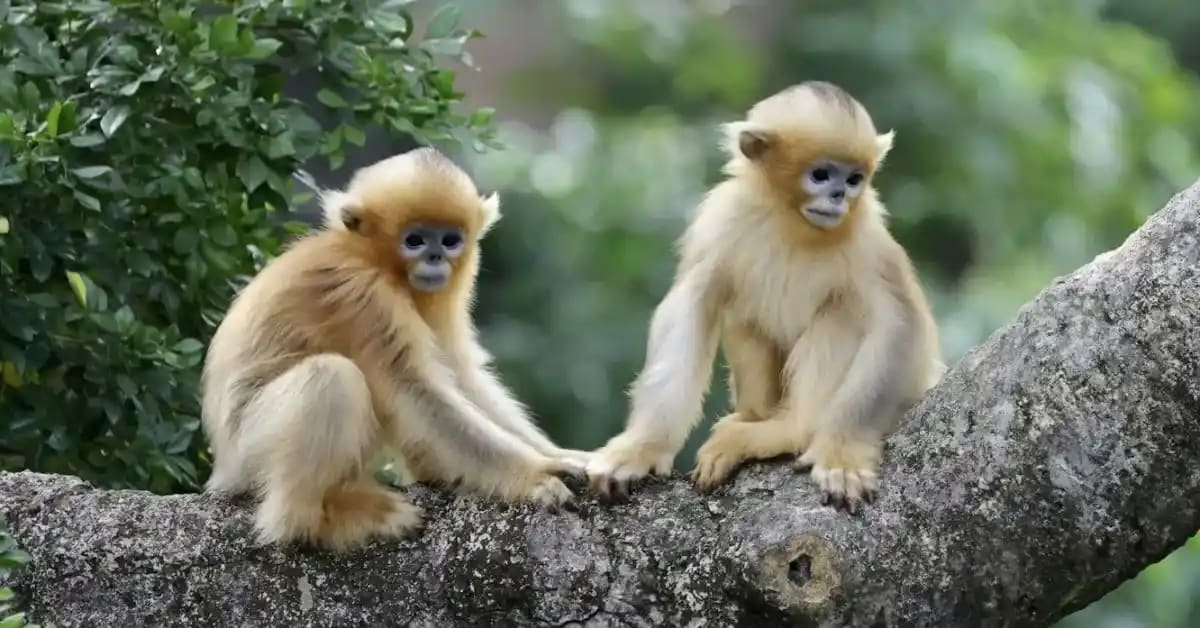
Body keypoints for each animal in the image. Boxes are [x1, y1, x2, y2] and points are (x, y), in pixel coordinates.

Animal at [201, 147, 590, 550]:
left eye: (450, 240)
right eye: (414, 240)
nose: (435, 258)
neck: (368, 256)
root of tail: (223, 469)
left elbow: (459, 375)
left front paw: (565, 455)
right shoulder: (363, 293)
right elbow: (418, 394)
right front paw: (538, 474)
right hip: (251, 451)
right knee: (331, 378)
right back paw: (317, 520)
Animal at [585, 82, 944, 512]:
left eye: (855, 179)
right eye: (821, 175)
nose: (839, 195)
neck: (794, 223)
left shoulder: (870, 241)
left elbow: (899, 325)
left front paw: (842, 455)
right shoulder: (721, 218)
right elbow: (689, 306)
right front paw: (640, 448)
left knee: (841, 314)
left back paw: (788, 431)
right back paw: (753, 420)